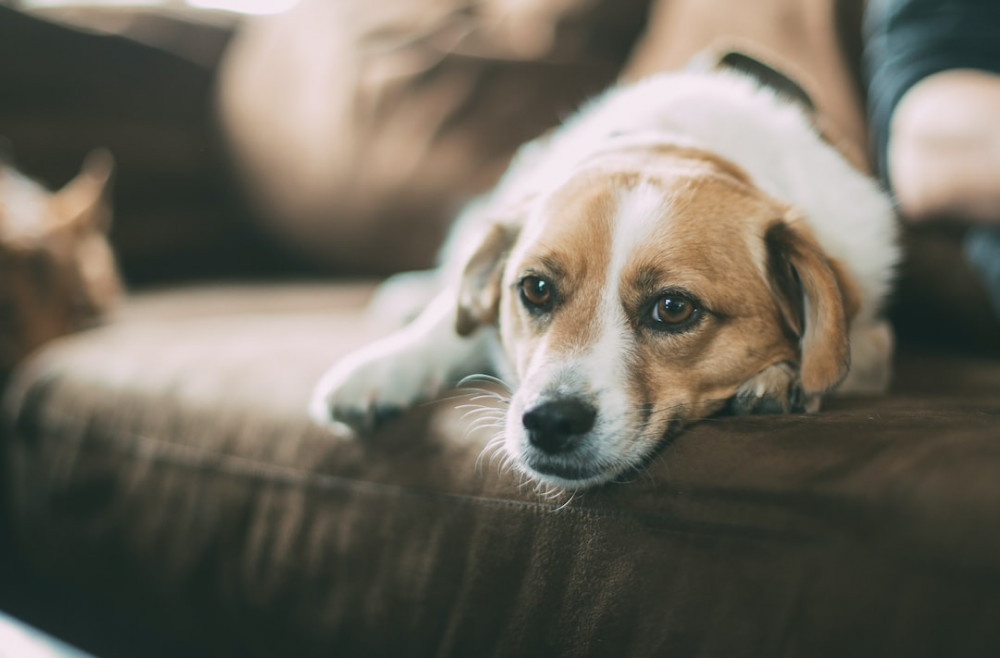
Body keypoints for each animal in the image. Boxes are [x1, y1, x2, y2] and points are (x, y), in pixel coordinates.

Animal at [306, 68, 900, 486]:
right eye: (535, 289)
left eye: (673, 308)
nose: (550, 421)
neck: (675, 144)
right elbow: (447, 324)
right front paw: (383, 367)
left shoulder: (872, 334)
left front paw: (782, 378)